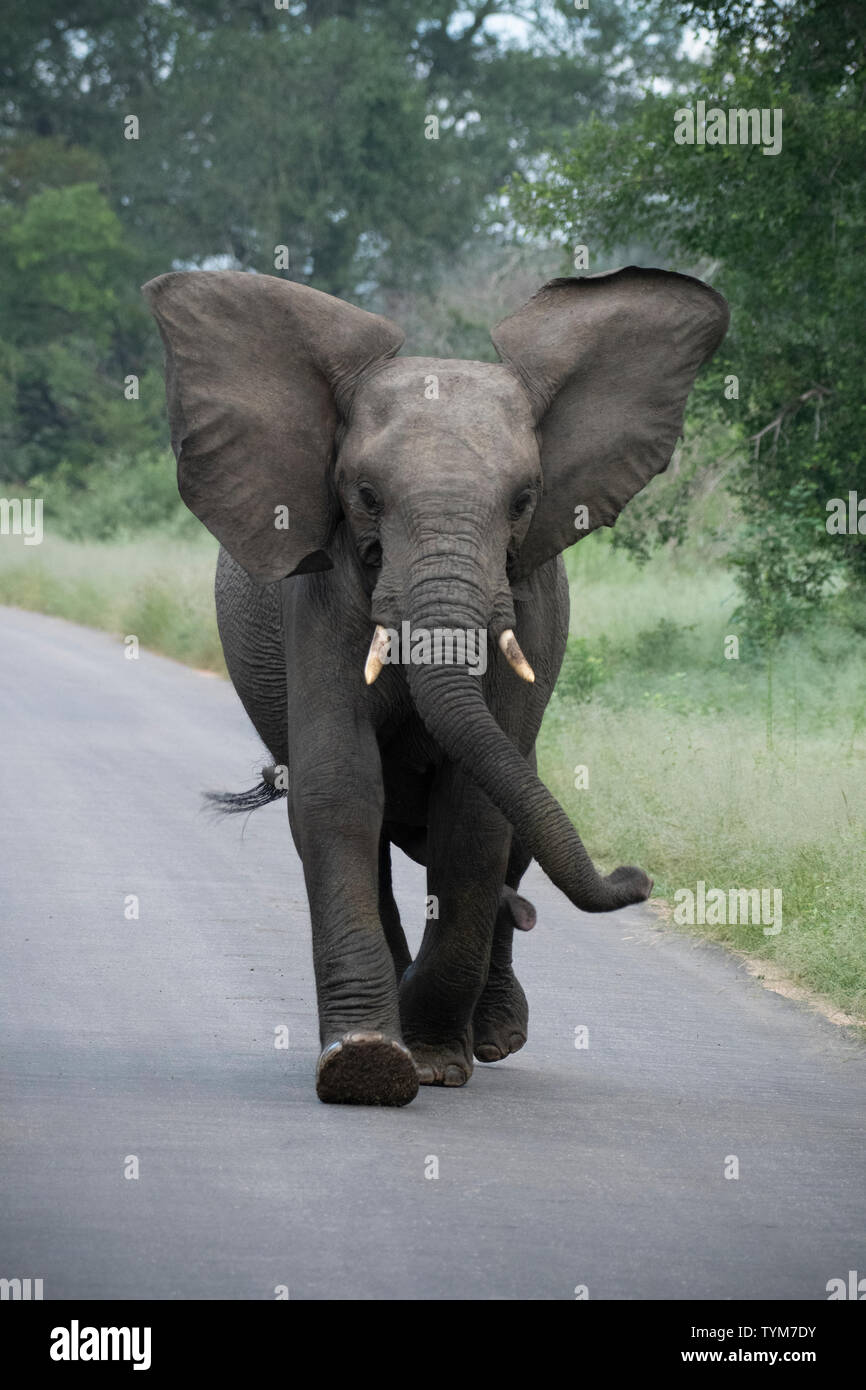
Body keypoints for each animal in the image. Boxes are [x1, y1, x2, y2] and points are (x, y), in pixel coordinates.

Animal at [145, 262, 728, 1106]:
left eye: (523, 501)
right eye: (365, 497)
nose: (637, 877)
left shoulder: (529, 602)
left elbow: (478, 814)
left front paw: (434, 1060)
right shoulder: (322, 595)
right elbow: (339, 788)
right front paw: (366, 1065)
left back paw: (493, 1036)